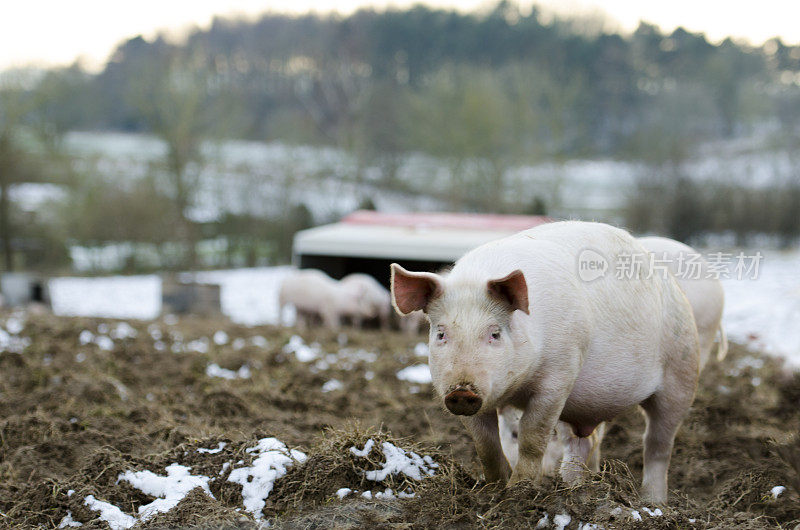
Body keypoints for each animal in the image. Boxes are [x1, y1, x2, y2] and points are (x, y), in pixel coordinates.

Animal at [390, 221, 696, 502]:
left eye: (495, 333)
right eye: (441, 333)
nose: (462, 391)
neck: (517, 388)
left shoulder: (559, 376)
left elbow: (532, 436)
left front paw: (518, 492)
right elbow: (485, 444)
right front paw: (493, 491)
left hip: (681, 374)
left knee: (657, 445)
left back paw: (652, 502)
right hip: (581, 404)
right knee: (582, 443)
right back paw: (574, 489)